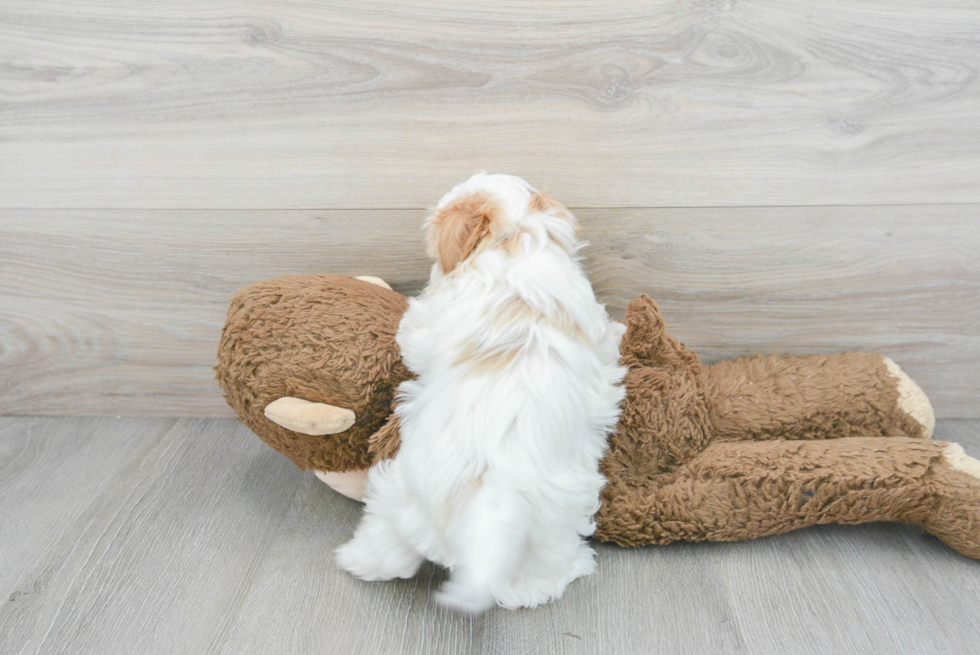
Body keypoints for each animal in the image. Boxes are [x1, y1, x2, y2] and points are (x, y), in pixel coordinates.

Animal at [336, 174, 628, 616]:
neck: (517, 240)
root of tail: (489, 504)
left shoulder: (429, 323)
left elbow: (412, 333)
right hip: (511, 521)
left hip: (403, 494)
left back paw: (355, 560)